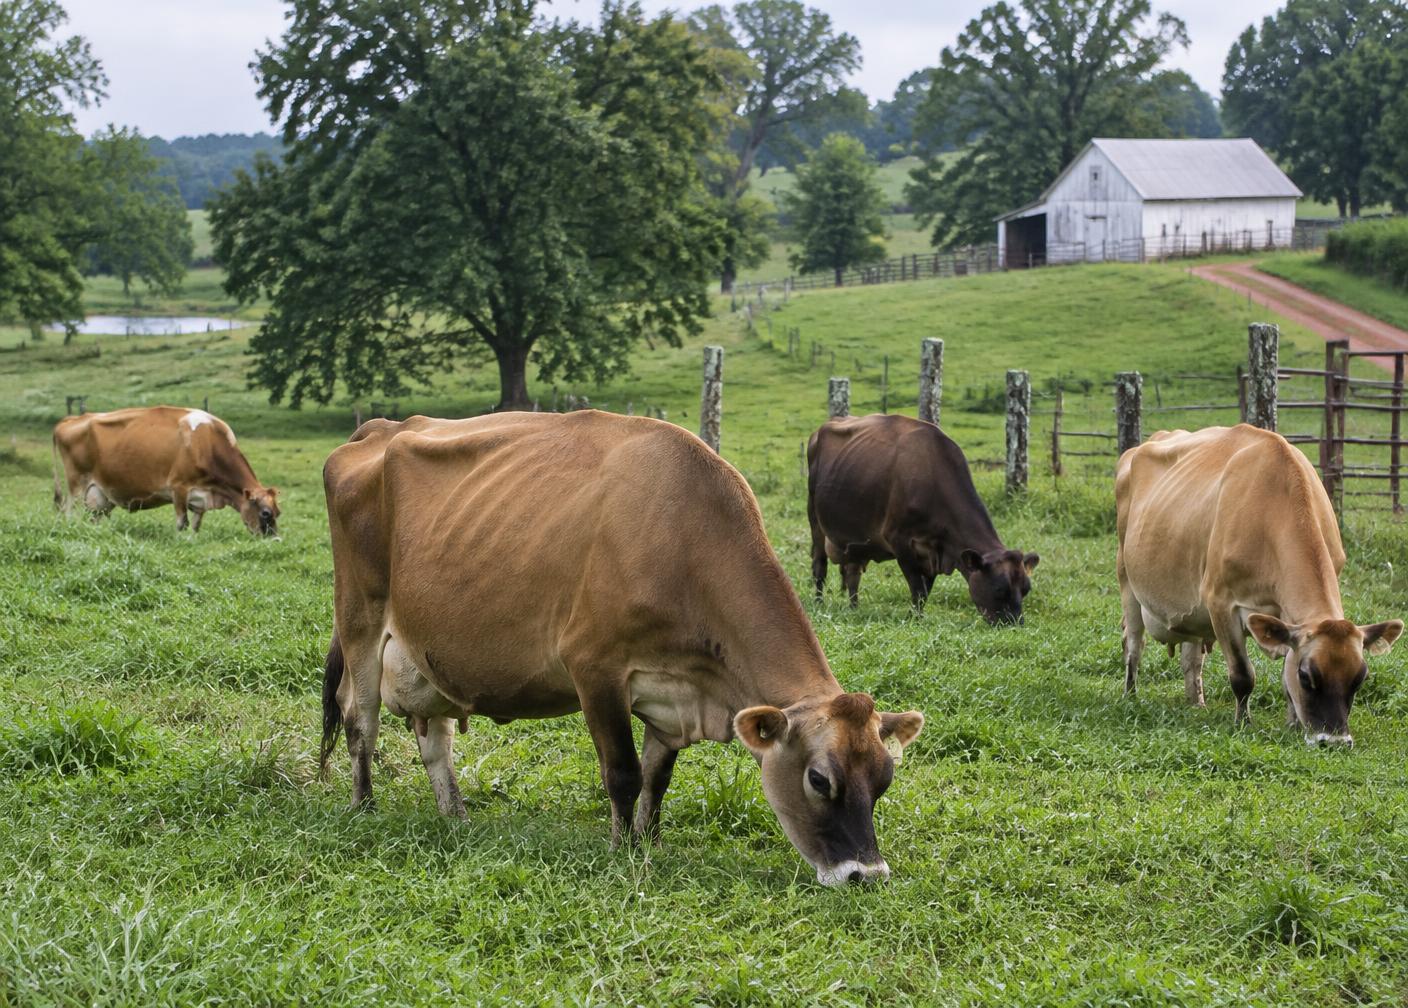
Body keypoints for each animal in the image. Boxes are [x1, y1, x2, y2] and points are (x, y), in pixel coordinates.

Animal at [52, 406, 280, 536]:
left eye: (278, 512)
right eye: (265, 513)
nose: (276, 539)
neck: (207, 443)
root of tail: (72, 419)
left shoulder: (202, 497)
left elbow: (196, 524)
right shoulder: (178, 487)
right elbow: (182, 522)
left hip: (98, 495)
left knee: (94, 517)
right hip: (76, 485)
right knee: (69, 512)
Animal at [318, 411, 925, 885]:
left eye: (885, 780)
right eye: (819, 780)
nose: (867, 874)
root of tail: (380, 428)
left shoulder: (673, 694)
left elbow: (657, 778)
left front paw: (649, 841)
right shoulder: (594, 667)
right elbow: (624, 773)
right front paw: (621, 850)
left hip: (429, 653)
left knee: (434, 740)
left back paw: (456, 817)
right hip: (360, 618)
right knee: (359, 718)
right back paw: (364, 805)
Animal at [806, 413, 1038, 623]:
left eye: (1026, 589)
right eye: (999, 589)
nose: (1015, 624)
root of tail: (820, 429)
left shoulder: (934, 552)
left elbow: (925, 590)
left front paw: (914, 615)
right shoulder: (900, 542)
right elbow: (918, 588)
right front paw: (915, 618)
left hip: (854, 539)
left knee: (853, 571)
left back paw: (854, 608)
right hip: (815, 520)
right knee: (820, 566)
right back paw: (818, 603)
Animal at [1116, 424, 1402, 745]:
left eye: (1359, 678)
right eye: (1307, 676)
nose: (1334, 741)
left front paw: (1292, 723)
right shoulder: (1220, 602)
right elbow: (1242, 675)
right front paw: (1243, 722)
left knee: (1191, 656)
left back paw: (1196, 703)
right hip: (1126, 578)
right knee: (1133, 642)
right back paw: (1131, 696)